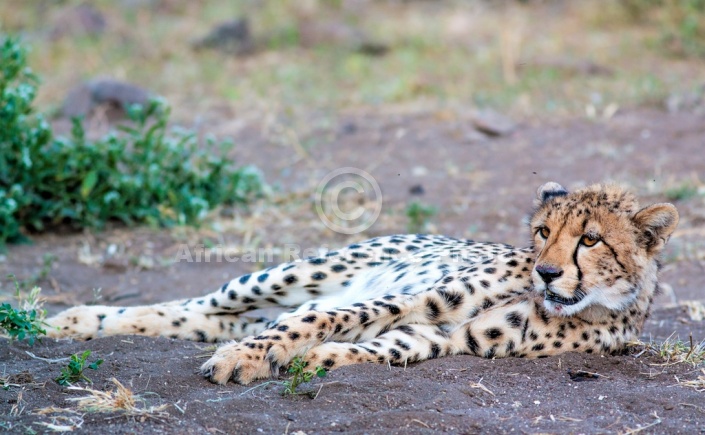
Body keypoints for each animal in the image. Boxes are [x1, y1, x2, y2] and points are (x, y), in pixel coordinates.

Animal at [48, 183, 676, 384]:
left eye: (590, 240)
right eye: (544, 232)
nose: (545, 270)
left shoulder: (454, 337)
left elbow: (384, 346)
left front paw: (312, 360)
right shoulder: (427, 297)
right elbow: (328, 317)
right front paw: (250, 359)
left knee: (200, 319)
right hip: (290, 275)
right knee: (202, 303)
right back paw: (71, 319)